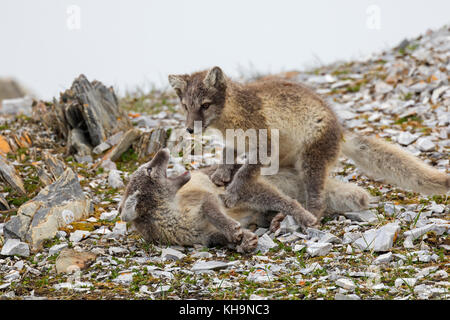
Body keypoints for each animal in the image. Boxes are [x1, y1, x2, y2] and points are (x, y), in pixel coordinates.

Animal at [170, 67, 450, 221]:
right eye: (185, 106)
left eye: (205, 105)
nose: (189, 128)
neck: (231, 118)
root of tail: (340, 130)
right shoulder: (234, 141)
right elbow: (227, 156)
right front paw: (220, 174)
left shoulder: (265, 142)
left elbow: (246, 173)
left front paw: (232, 193)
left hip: (311, 161)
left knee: (318, 200)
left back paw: (306, 217)